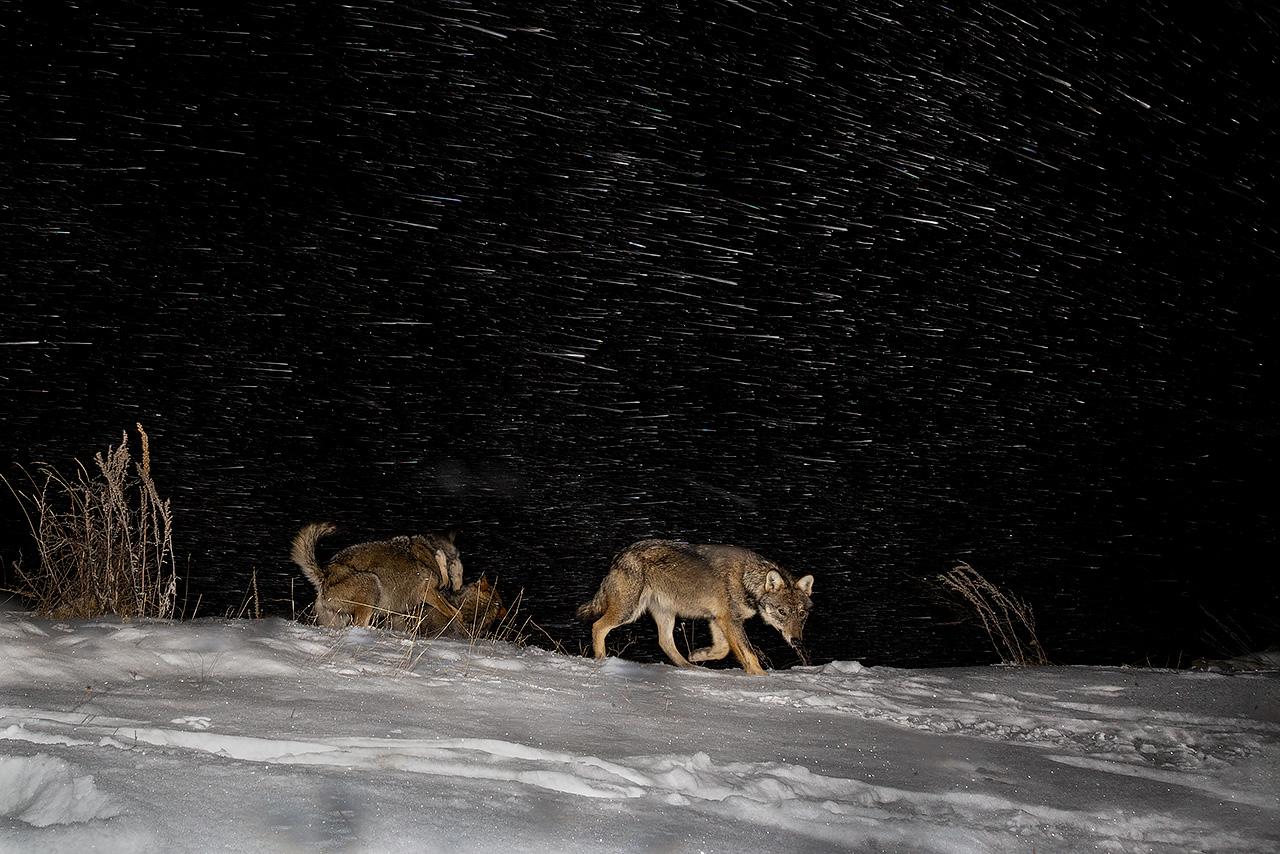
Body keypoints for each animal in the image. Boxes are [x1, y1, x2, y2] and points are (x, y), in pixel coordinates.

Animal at [290, 522, 463, 629]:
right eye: (461, 569)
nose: (459, 587)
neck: (429, 547)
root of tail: (325, 575)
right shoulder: (428, 591)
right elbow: (453, 612)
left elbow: (455, 609)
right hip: (372, 587)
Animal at [576, 539, 814, 675]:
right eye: (782, 612)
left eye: (801, 614)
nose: (797, 641)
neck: (746, 578)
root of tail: (619, 556)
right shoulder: (730, 621)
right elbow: (750, 655)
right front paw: (763, 680)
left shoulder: (717, 620)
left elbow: (723, 649)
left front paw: (699, 655)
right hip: (628, 611)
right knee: (598, 627)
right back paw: (601, 660)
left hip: (666, 614)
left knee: (665, 642)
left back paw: (690, 668)